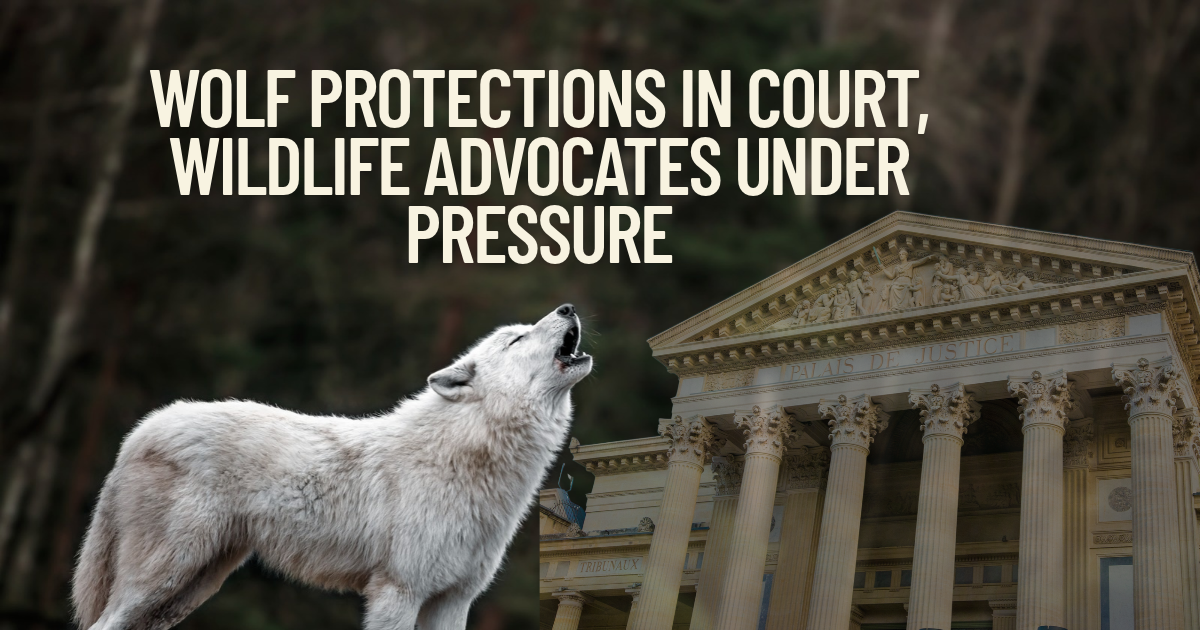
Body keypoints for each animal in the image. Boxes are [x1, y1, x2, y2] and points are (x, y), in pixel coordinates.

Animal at [72, 304, 592, 630]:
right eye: (518, 337)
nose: (568, 308)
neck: (466, 455)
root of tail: (142, 429)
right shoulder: (397, 591)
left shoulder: (453, 601)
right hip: (164, 576)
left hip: (189, 588)